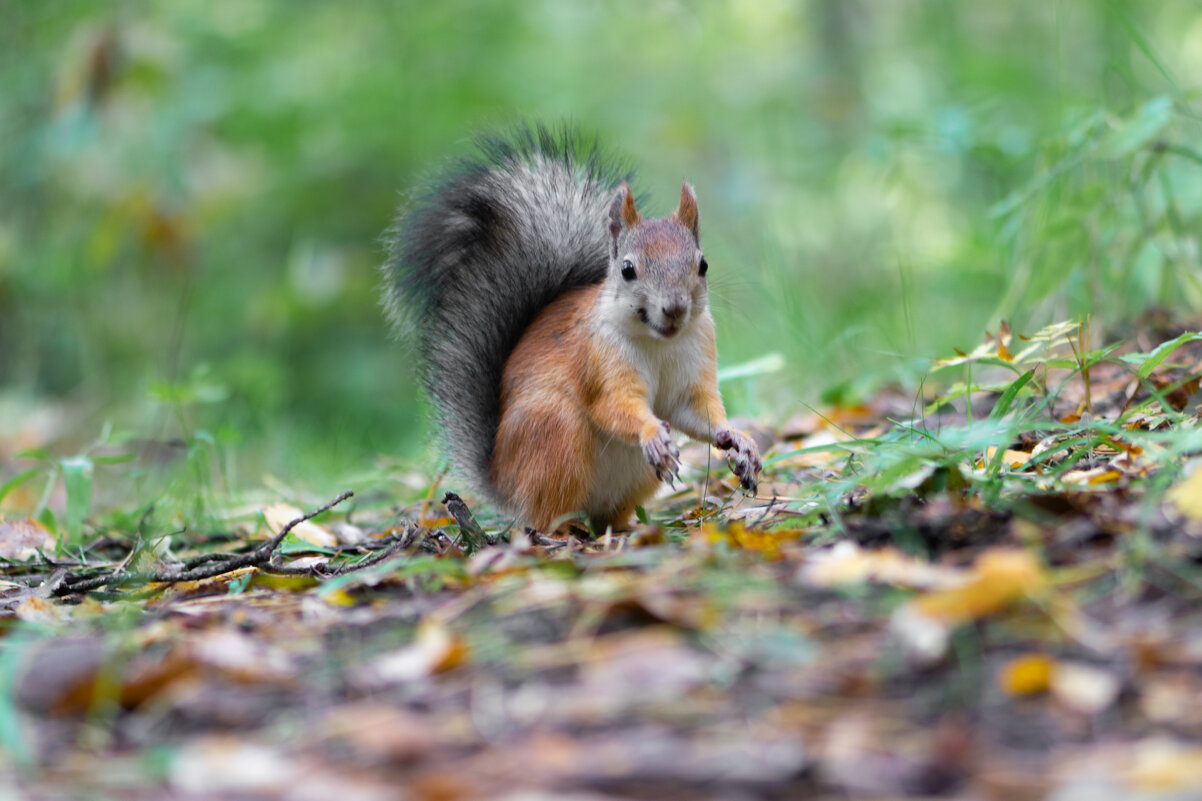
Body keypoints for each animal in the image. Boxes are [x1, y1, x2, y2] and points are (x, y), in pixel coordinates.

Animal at [384, 126, 759, 529]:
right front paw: (651, 433)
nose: (674, 309)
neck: (659, 343)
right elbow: (613, 405)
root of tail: (503, 483)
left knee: (608, 515)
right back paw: (566, 530)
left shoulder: (695, 360)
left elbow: (695, 412)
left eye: (702, 265)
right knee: (546, 514)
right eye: (628, 270)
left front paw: (738, 439)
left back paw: (628, 527)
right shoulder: (598, 361)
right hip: (555, 434)